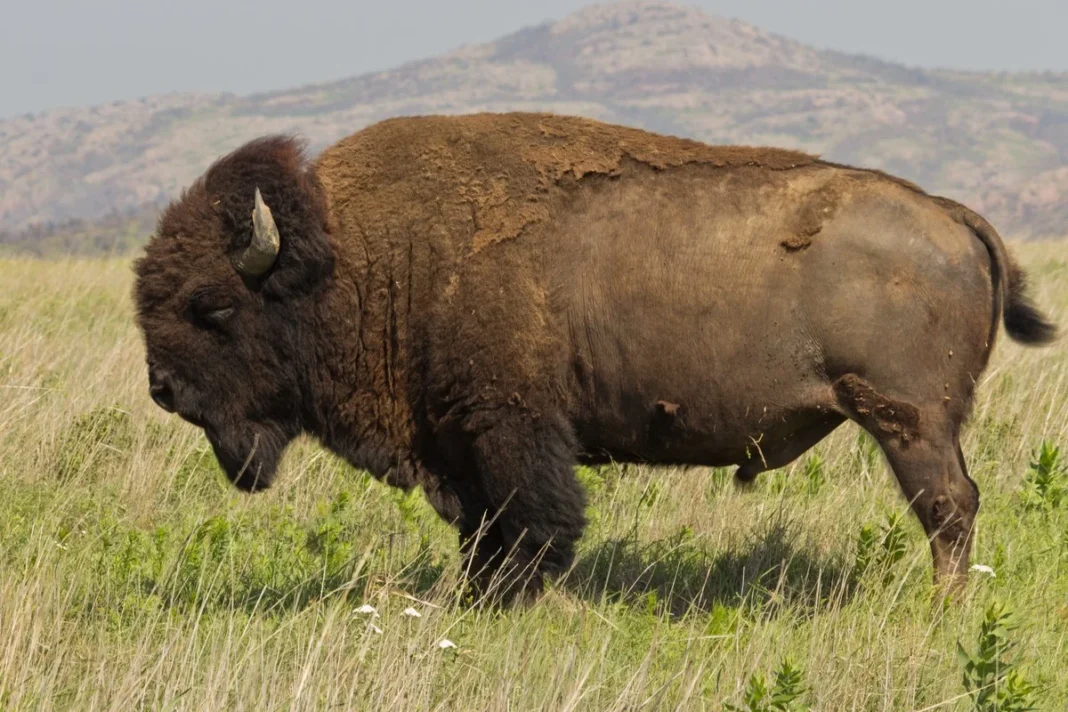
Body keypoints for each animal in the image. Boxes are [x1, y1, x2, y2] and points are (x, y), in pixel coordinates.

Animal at [134, 112, 1056, 603]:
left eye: (211, 306)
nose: (163, 389)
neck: (360, 254)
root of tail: (948, 213)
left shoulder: (512, 431)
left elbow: (535, 525)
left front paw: (511, 605)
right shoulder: (459, 446)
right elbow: (480, 532)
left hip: (909, 423)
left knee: (949, 508)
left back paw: (943, 607)